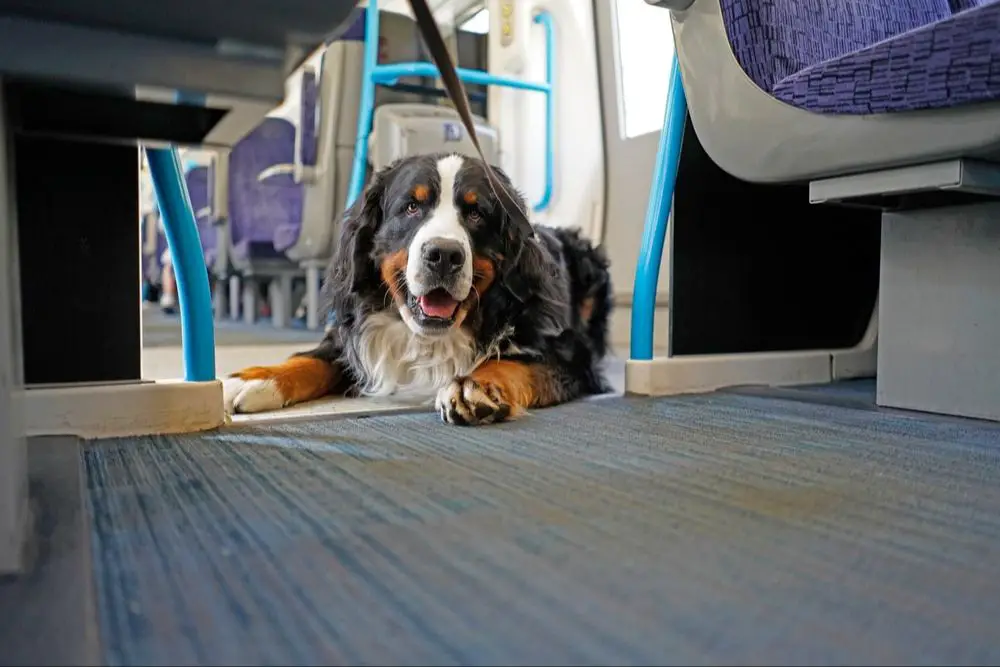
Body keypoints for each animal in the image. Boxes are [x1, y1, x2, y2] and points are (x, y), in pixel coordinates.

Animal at [224, 151, 612, 426]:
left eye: (476, 213)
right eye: (411, 206)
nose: (443, 254)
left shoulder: (569, 352)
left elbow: (514, 362)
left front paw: (475, 385)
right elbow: (312, 358)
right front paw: (257, 378)